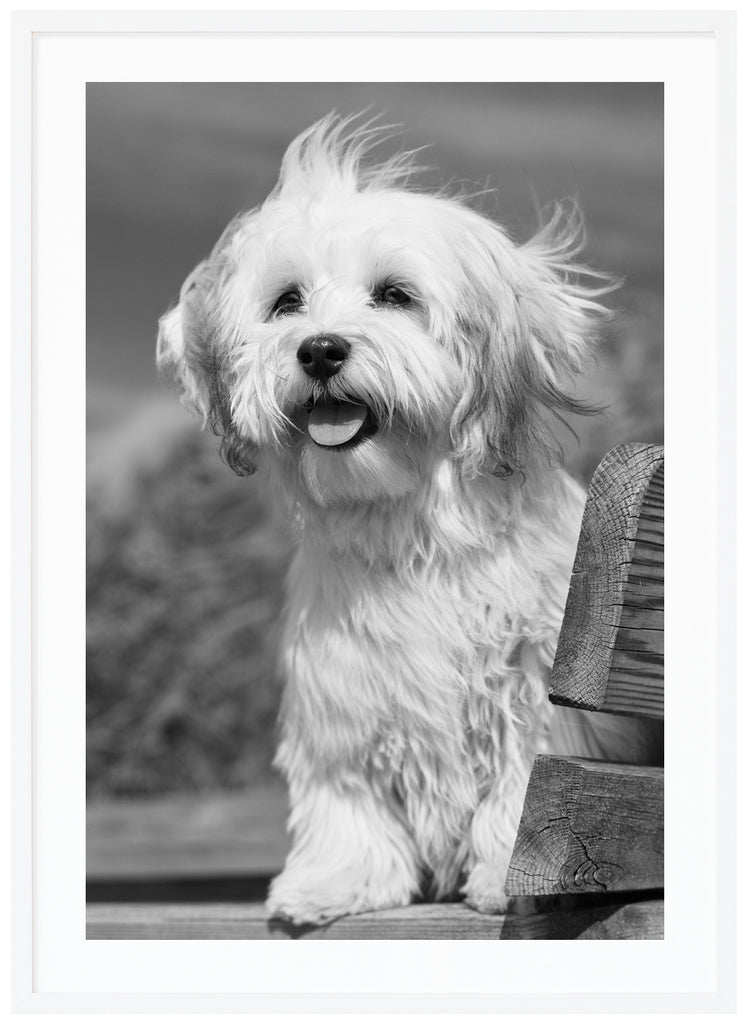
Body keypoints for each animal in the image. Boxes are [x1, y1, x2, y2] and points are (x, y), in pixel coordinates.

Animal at [158, 116, 647, 925]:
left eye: (394, 295)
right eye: (286, 302)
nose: (320, 348)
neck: (409, 525)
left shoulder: (536, 690)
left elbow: (522, 782)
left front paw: (507, 877)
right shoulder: (343, 699)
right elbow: (346, 798)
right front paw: (335, 881)